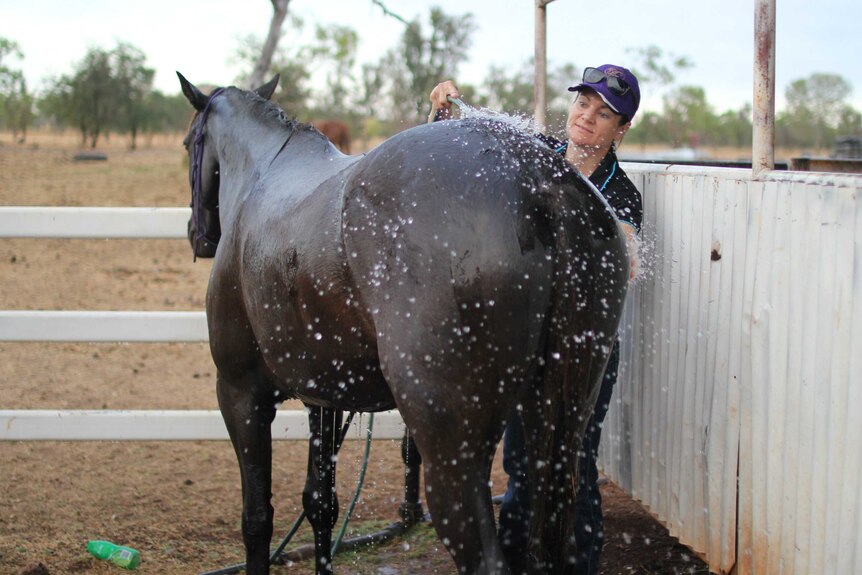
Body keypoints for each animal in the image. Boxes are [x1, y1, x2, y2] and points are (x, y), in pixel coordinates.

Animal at [179, 73, 632, 575]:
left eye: (188, 143)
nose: (198, 235)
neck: (265, 174)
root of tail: (540, 181)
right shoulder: (324, 397)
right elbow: (321, 505)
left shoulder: (241, 394)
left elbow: (257, 517)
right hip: (559, 431)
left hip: (453, 456)